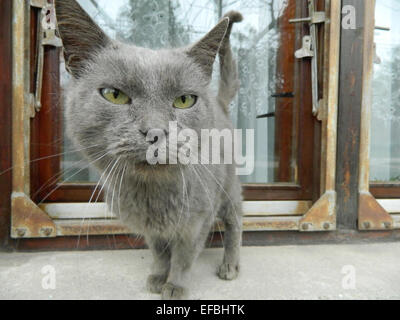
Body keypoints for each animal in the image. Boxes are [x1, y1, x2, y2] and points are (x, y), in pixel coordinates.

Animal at [55, 0, 244, 300]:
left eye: (184, 100)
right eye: (114, 95)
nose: (155, 132)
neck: (152, 195)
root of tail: (219, 104)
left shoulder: (197, 222)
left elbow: (183, 257)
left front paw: (175, 285)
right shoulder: (151, 229)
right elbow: (160, 252)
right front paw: (157, 277)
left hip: (228, 187)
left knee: (235, 221)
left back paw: (230, 264)